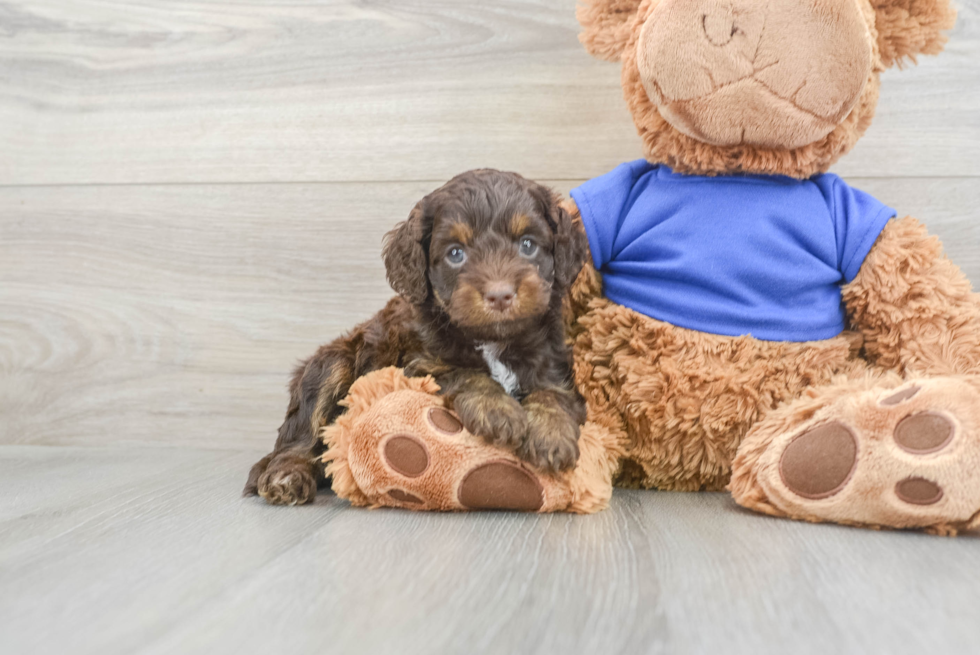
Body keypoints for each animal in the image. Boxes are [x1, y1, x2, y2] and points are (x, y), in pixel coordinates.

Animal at [245, 170, 588, 508]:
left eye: (528, 245)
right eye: (455, 253)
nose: (500, 295)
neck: (491, 339)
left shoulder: (553, 364)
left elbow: (552, 393)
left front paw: (551, 434)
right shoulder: (420, 365)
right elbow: (464, 373)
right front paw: (497, 411)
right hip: (331, 364)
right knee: (299, 436)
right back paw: (287, 476)